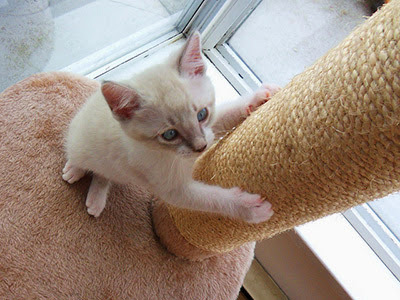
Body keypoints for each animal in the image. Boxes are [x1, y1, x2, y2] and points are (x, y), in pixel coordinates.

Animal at [63, 33, 278, 225]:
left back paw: (94, 198)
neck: (171, 155)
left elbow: (225, 116)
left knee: (105, 173)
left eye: (202, 114)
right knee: (84, 161)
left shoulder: (209, 130)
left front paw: (258, 98)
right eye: (170, 134)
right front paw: (249, 208)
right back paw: (74, 172)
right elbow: (211, 199)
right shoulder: (171, 189)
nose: (201, 147)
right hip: (82, 144)